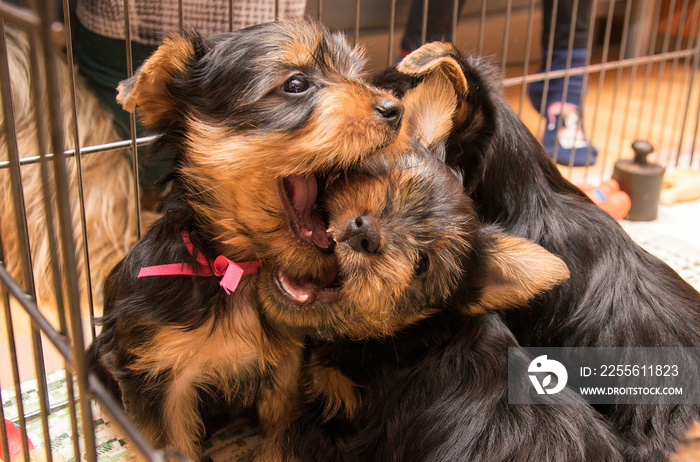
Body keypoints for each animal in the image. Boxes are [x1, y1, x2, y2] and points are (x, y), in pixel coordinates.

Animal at [86, 19, 404, 458]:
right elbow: (171, 445)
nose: (395, 109)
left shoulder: (285, 370)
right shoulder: (158, 376)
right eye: (295, 84)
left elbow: (279, 432)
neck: (240, 269)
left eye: (356, 74)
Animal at [254, 72, 620, 462]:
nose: (365, 232)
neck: (406, 338)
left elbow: (279, 442)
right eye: (387, 180)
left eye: (421, 264)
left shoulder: (342, 433)